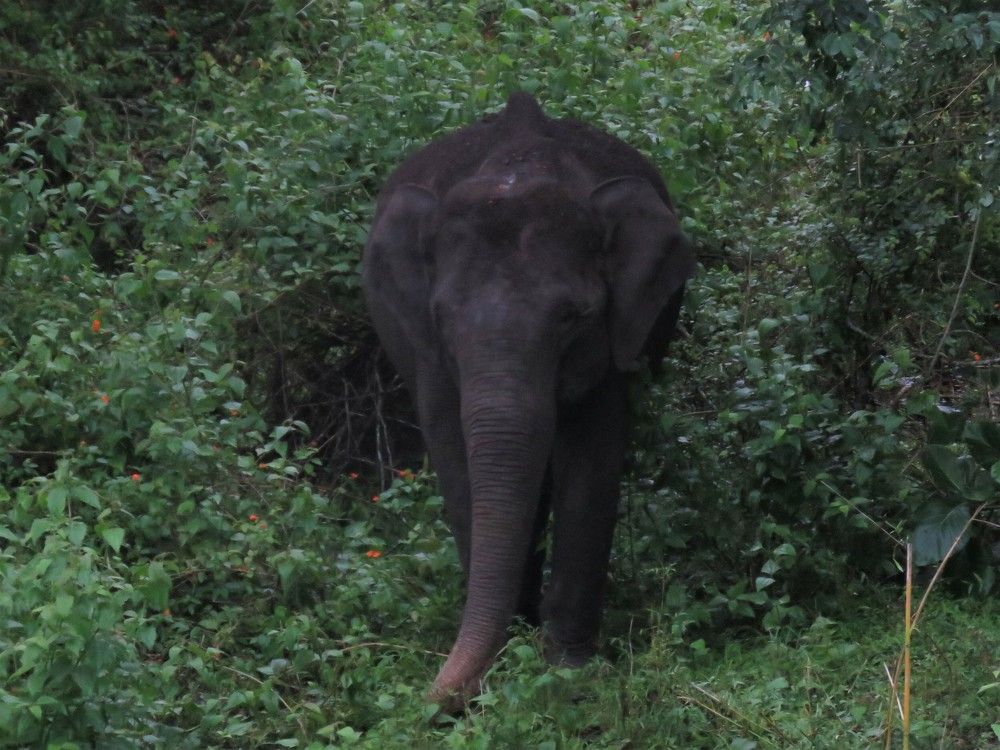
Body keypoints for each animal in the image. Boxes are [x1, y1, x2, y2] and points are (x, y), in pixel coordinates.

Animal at [362, 92, 695, 710]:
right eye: (443, 318)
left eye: (572, 316)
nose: (436, 698)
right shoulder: (427, 350)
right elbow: (455, 456)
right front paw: (514, 647)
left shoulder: (610, 341)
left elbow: (591, 458)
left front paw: (568, 669)